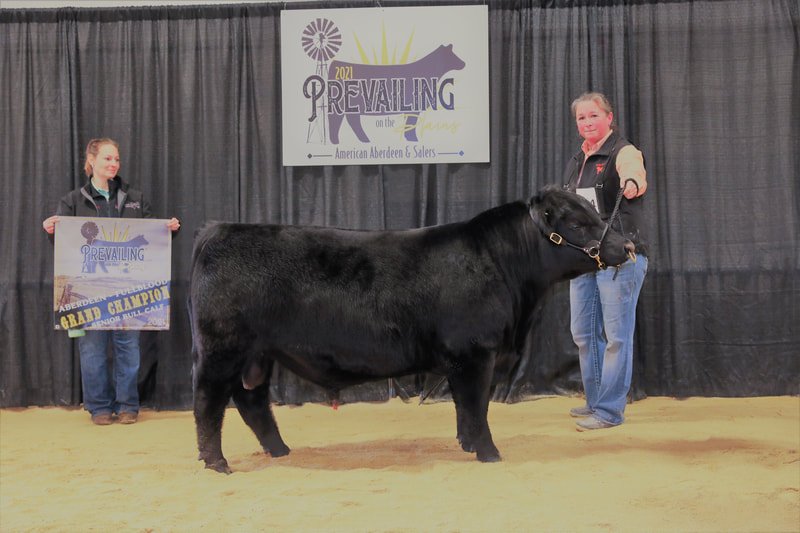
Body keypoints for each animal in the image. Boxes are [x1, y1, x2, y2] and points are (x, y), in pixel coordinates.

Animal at [189, 186, 635, 473]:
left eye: (594, 213)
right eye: (577, 223)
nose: (629, 247)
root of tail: (219, 230)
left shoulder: (467, 358)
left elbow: (466, 406)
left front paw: (467, 444)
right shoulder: (475, 352)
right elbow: (476, 404)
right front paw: (488, 452)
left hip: (258, 355)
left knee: (251, 401)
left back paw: (280, 451)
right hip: (222, 348)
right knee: (209, 401)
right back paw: (217, 462)